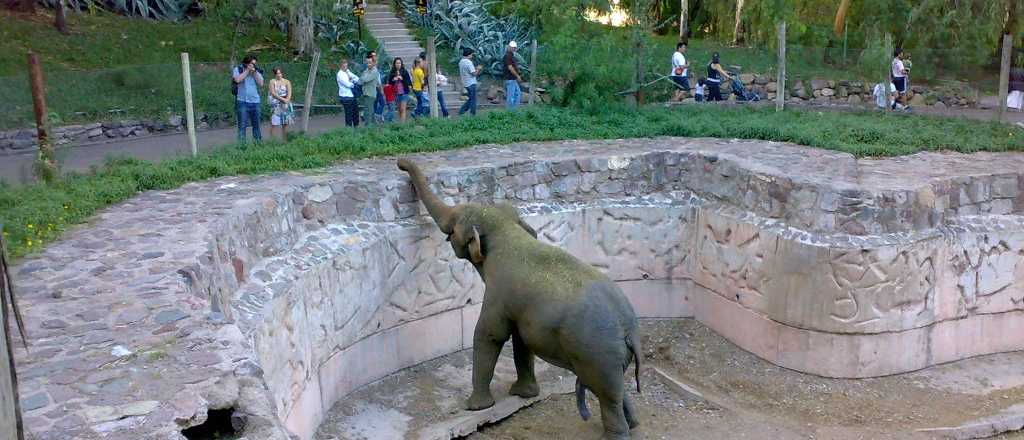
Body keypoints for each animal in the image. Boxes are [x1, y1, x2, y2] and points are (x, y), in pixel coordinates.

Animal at [397, 158, 643, 439]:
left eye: (455, 223)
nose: (400, 164)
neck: (507, 231)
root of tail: (631, 331)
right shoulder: (521, 309)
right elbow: (521, 339)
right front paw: (524, 394)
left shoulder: (498, 292)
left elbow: (490, 334)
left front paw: (477, 407)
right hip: (609, 358)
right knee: (616, 390)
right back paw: (634, 424)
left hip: (597, 353)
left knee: (607, 395)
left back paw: (614, 434)